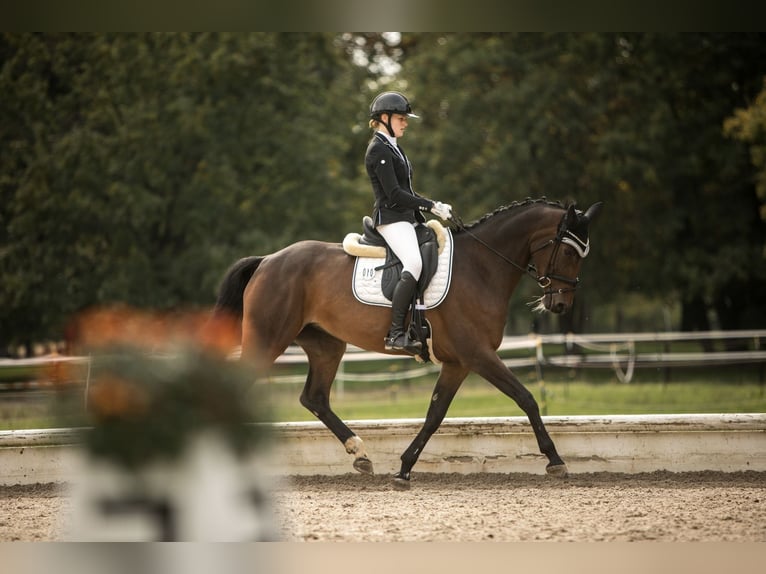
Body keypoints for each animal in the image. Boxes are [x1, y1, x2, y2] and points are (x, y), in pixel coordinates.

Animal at [214, 198, 603, 488]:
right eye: (570, 253)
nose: (560, 305)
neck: (481, 267)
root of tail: (268, 260)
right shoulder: (479, 355)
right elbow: (526, 398)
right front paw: (555, 460)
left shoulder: (458, 363)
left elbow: (435, 414)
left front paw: (404, 468)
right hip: (269, 340)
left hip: (326, 346)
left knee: (315, 398)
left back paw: (360, 454)